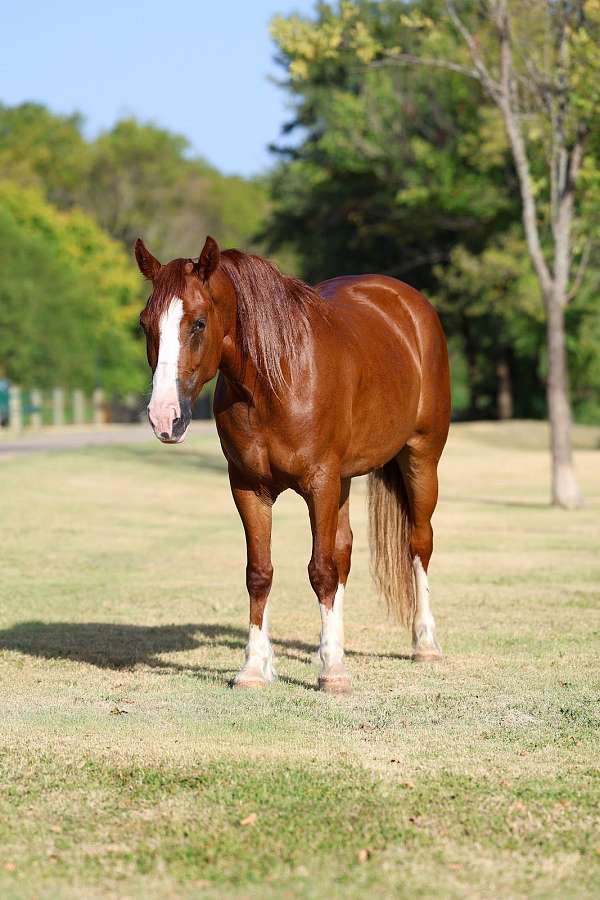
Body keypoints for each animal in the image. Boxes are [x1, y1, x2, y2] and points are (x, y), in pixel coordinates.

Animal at [135, 235, 451, 693]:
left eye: (198, 323)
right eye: (146, 324)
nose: (164, 418)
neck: (274, 382)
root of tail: (408, 303)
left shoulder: (320, 483)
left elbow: (320, 570)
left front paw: (333, 673)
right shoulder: (249, 487)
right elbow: (260, 572)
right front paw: (254, 667)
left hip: (421, 458)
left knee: (418, 543)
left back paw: (424, 644)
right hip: (345, 481)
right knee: (345, 552)